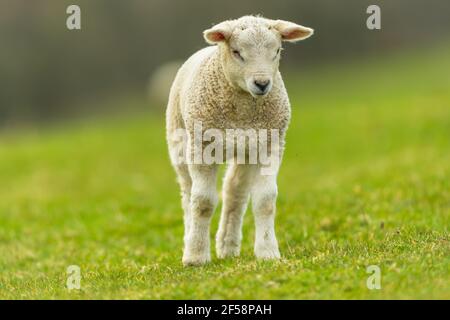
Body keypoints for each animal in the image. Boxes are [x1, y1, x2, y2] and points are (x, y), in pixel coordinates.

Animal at [165, 15, 312, 264]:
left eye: (277, 51)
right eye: (236, 52)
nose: (262, 84)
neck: (242, 113)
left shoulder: (270, 145)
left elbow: (265, 200)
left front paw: (268, 252)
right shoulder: (201, 147)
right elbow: (203, 202)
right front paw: (196, 256)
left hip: (246, 150)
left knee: (234, 191)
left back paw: (227, 245)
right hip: (180, 142)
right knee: (187, 194)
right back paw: (190, 240)